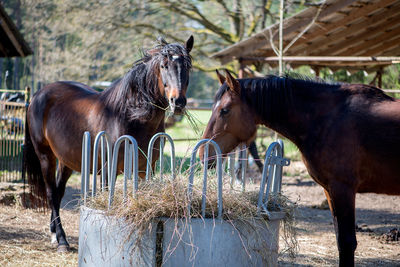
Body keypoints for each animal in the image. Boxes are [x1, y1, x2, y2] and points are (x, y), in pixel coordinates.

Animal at [23, 36, 194, 253]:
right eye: (164, 66)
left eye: (187, 66)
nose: (177, 102)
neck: (129, 115)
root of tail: (38, 95)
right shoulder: (106, 169)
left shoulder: (146, 168)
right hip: (46, 156)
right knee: (52, 193)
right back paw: (62, 241)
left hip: (67, 160)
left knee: (59, 192)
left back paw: (54, 234)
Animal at [202, 70, 400, 267]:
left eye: (224, 110)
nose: (204, 152)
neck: (327, 119)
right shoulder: (330, 190)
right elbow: (340, 241)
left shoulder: (343, 188)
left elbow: (347, 243)